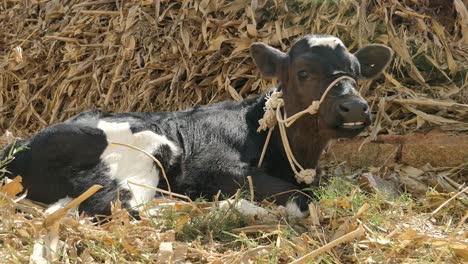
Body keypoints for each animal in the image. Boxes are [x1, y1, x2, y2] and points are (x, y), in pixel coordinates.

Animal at [0, 34, 392, 217]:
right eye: (303, 72)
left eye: (357, 73)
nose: (354, 107)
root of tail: (19, 147)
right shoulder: (213, 168)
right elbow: (300, 197)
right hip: (140, 156)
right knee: (114, 208)